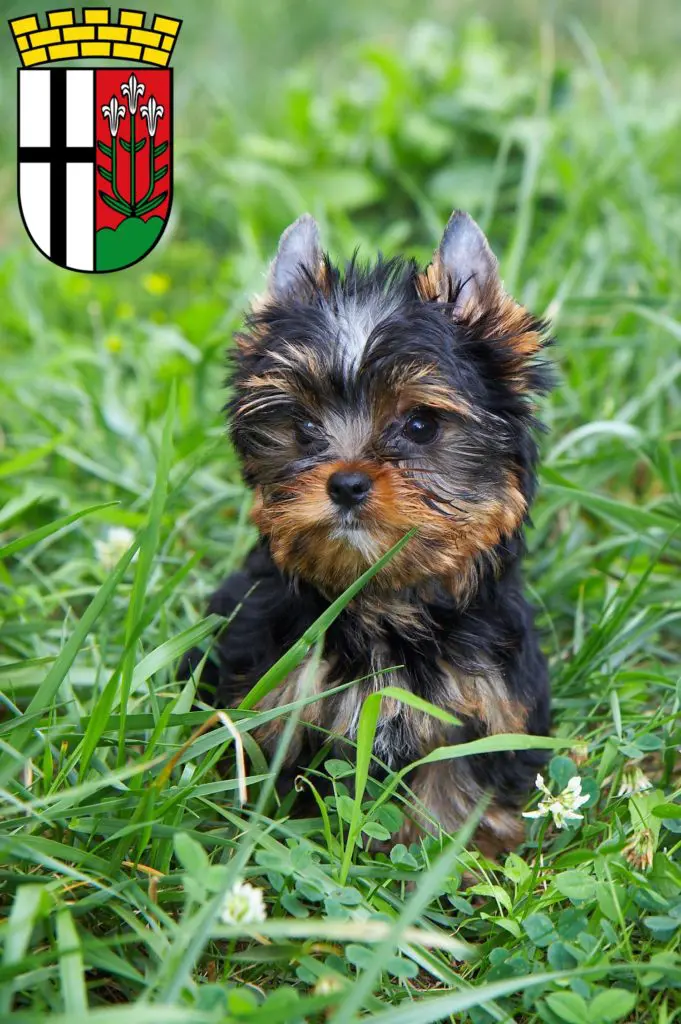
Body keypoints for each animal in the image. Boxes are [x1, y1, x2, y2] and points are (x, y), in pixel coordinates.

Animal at [184, 207, 552, 847]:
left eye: (421, 425)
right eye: (303, 427)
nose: (347, 483)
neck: (381, 600)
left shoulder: (481, 707)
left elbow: (454, 791)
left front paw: (443, 857)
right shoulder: (276, 691)